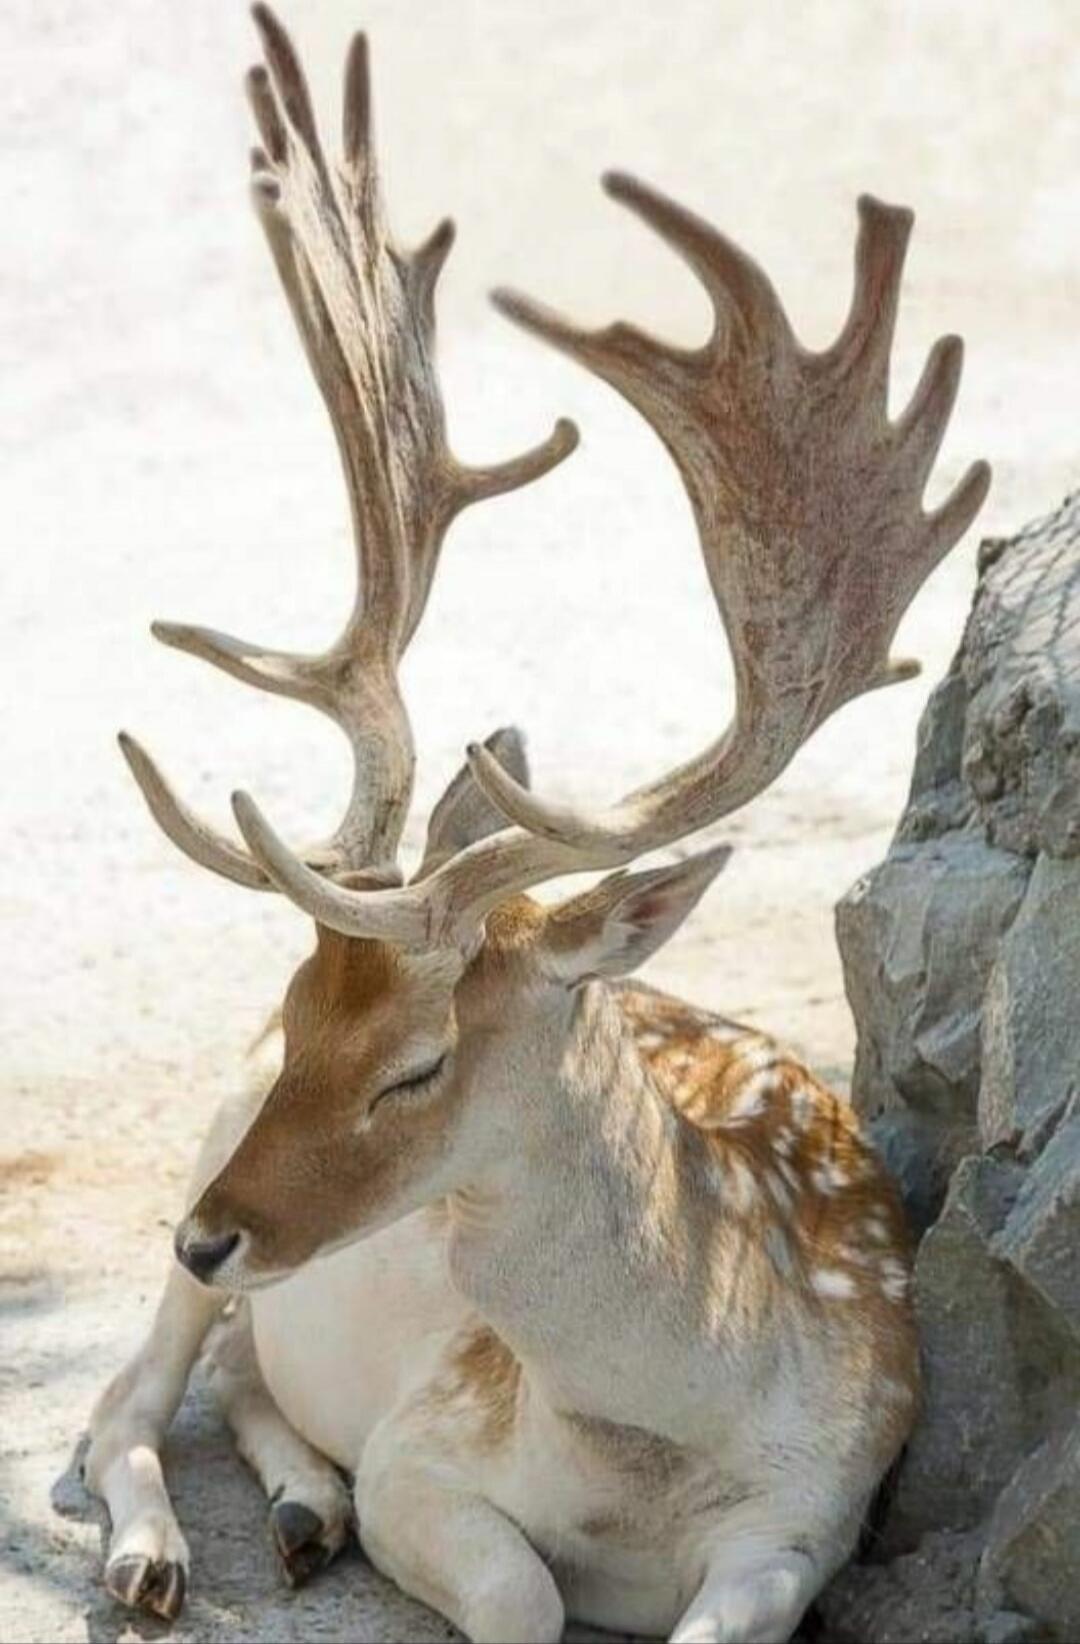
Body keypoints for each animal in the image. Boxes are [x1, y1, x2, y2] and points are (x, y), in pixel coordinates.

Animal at [83, 8, 990, 1641]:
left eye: (416, 1065)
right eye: (300, 1020)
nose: (212, 1230)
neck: (655, 1450)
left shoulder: (817, 1519)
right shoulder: (427, 1449)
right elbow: (517, 1592)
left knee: (238, 1368)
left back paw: (298, 1507)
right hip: (200, 1151)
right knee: (123, 1398)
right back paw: (159, 1556)